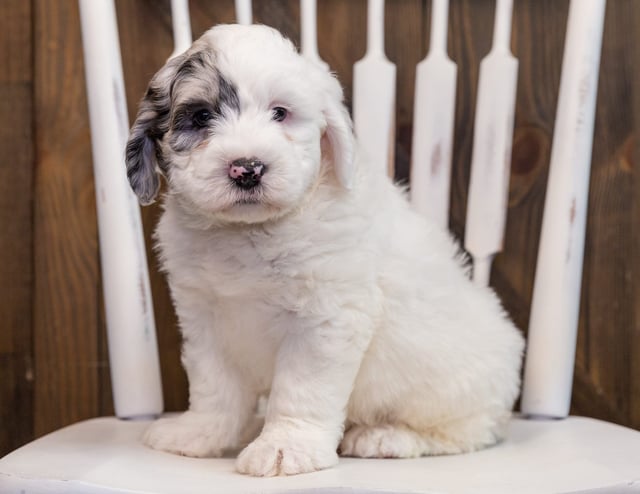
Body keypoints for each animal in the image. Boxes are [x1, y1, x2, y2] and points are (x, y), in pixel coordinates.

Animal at [125, 24, 524, 478]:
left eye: (280, 113)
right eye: (201, 116)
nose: (248, 168)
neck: (250, 232)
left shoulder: (324, 318)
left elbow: (301, 390)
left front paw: (284, 447)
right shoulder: (205, 319)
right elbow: (213, 386)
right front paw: (198, 433)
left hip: (453, 390)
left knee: (465, 431)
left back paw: (385, 437)